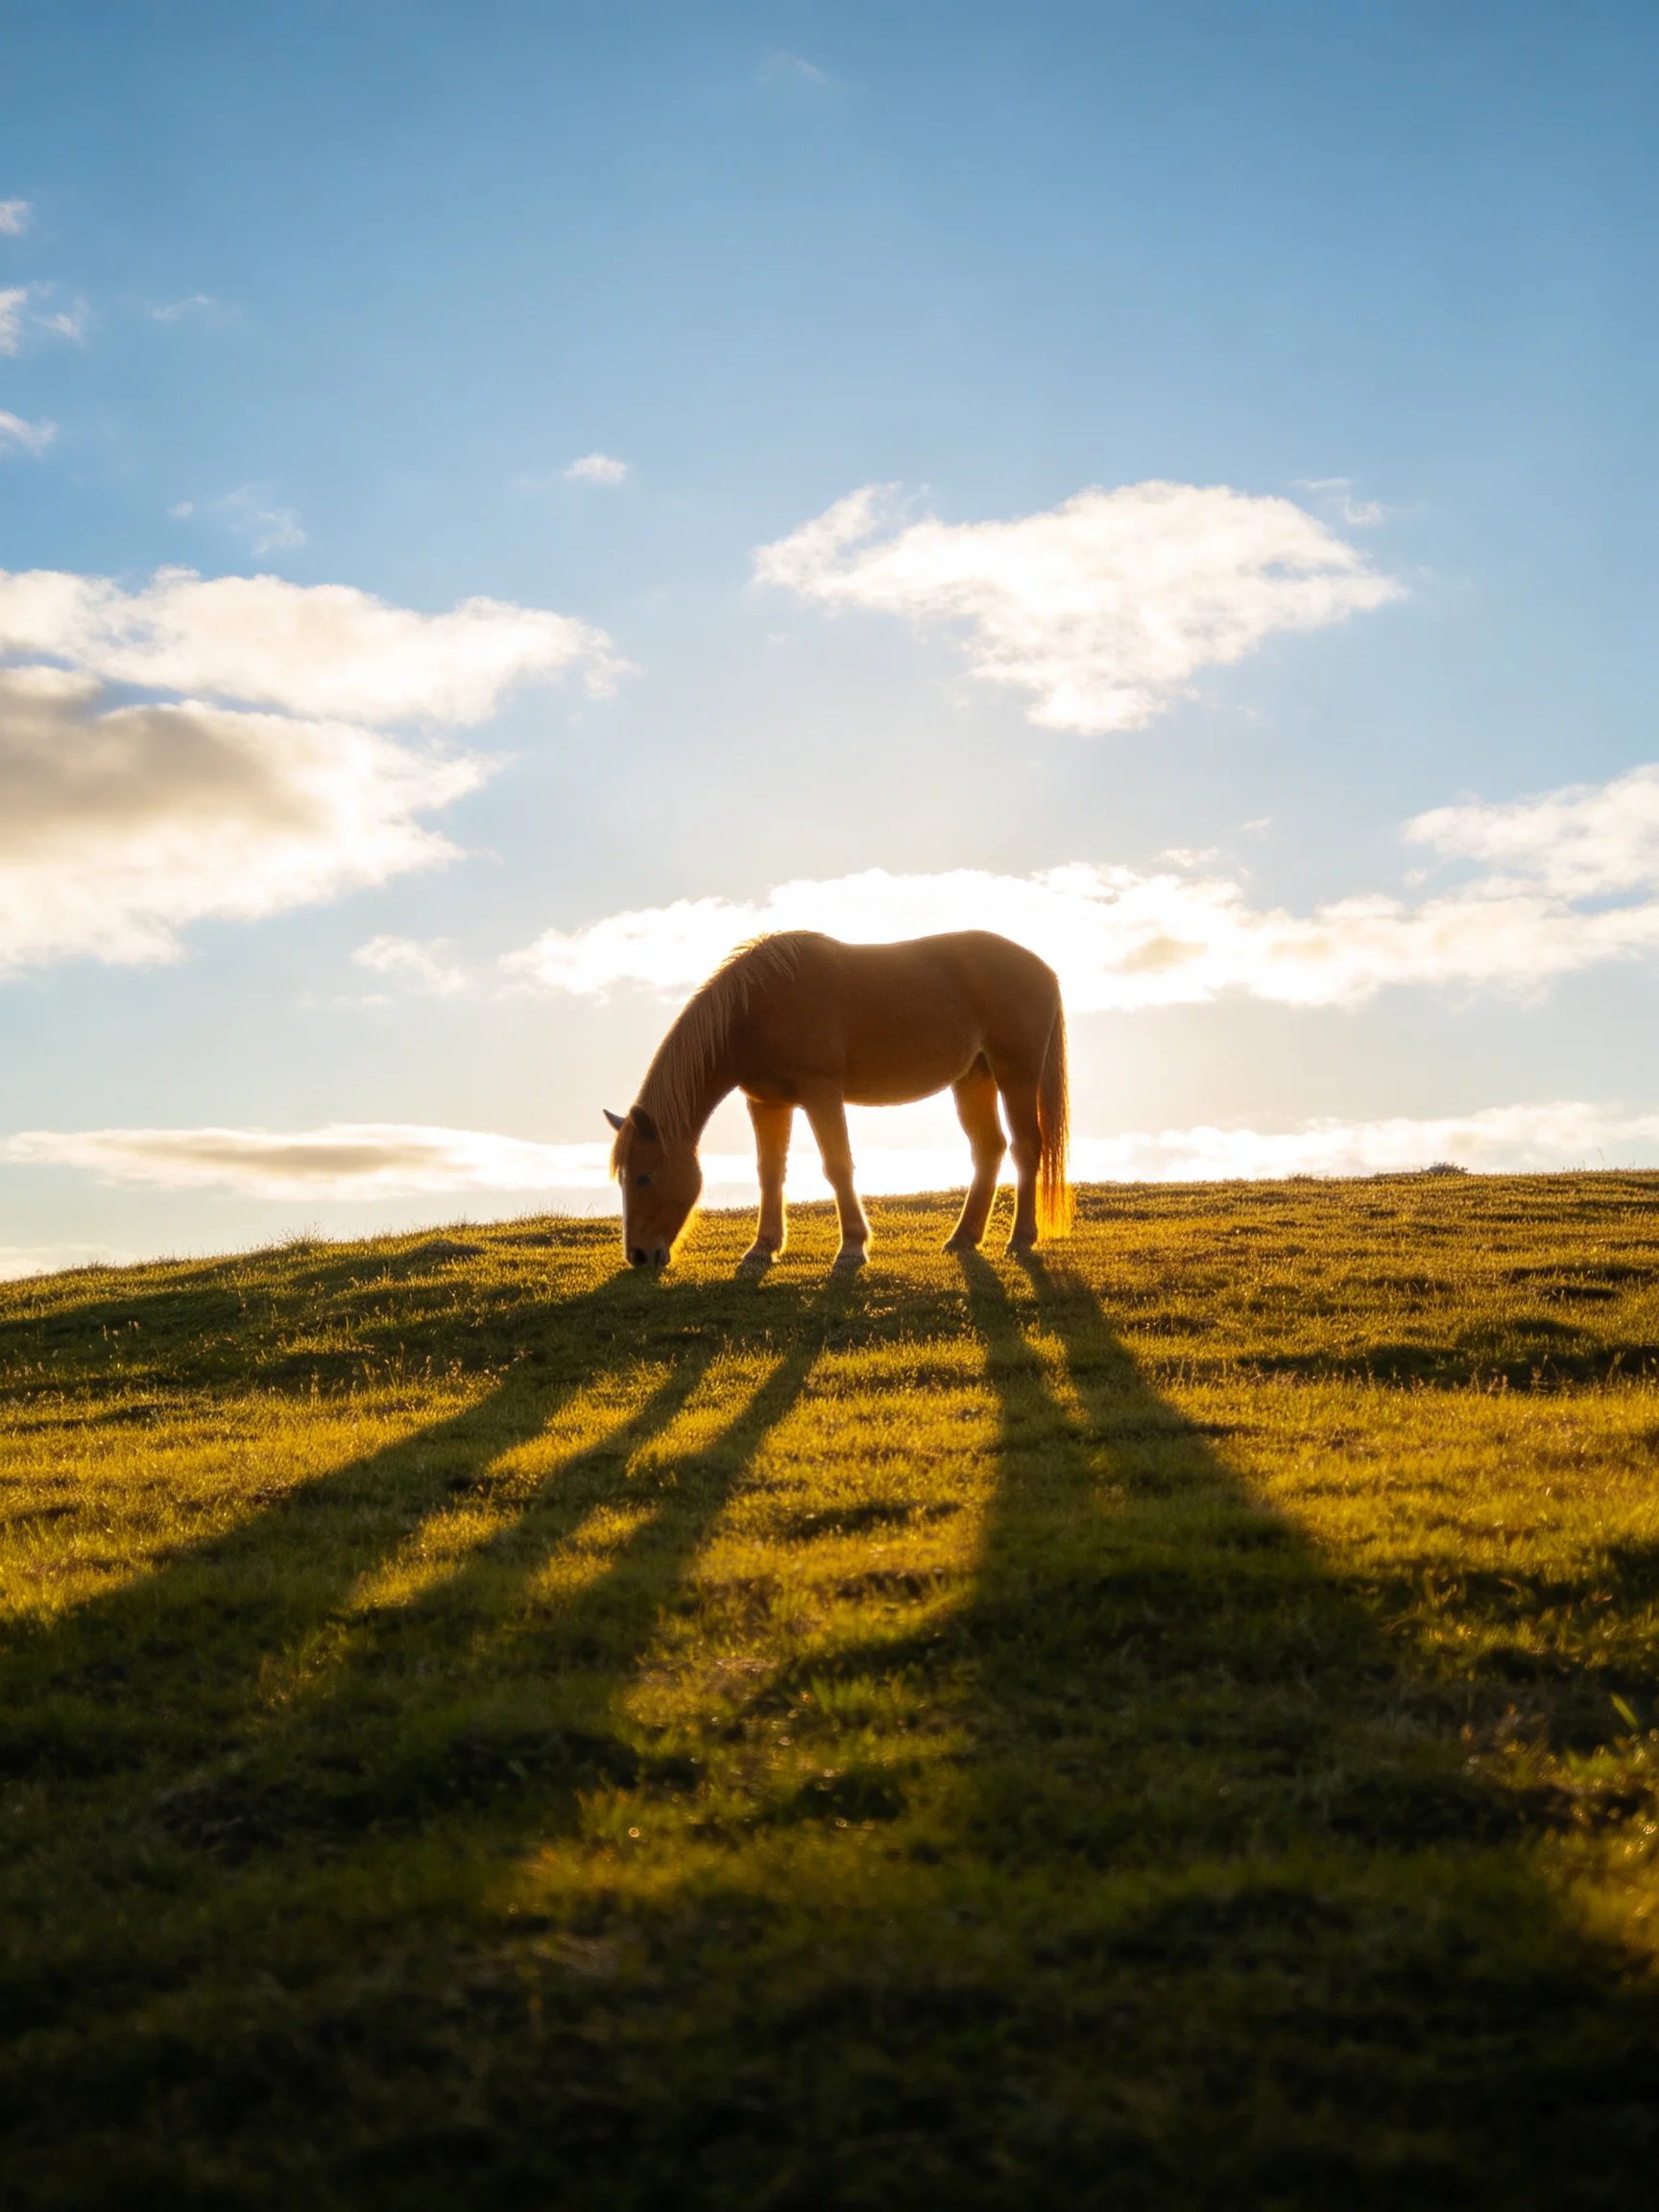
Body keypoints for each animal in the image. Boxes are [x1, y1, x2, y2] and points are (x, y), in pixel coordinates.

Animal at [604, 929, 1070, 1270]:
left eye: (644, 1176)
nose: (639, 1256)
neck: (756, 1006)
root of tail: (1042, 969)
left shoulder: (821, 1093)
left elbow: (838, 1164)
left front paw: (852, 1247)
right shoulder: (767, 1103)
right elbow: (769, 1172)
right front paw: (763, 1247)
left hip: (1016, 1075)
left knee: (1026, 1148)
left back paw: (1020, 1238)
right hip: (974, 1079)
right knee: (989, 1150)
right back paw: (963, 1238)